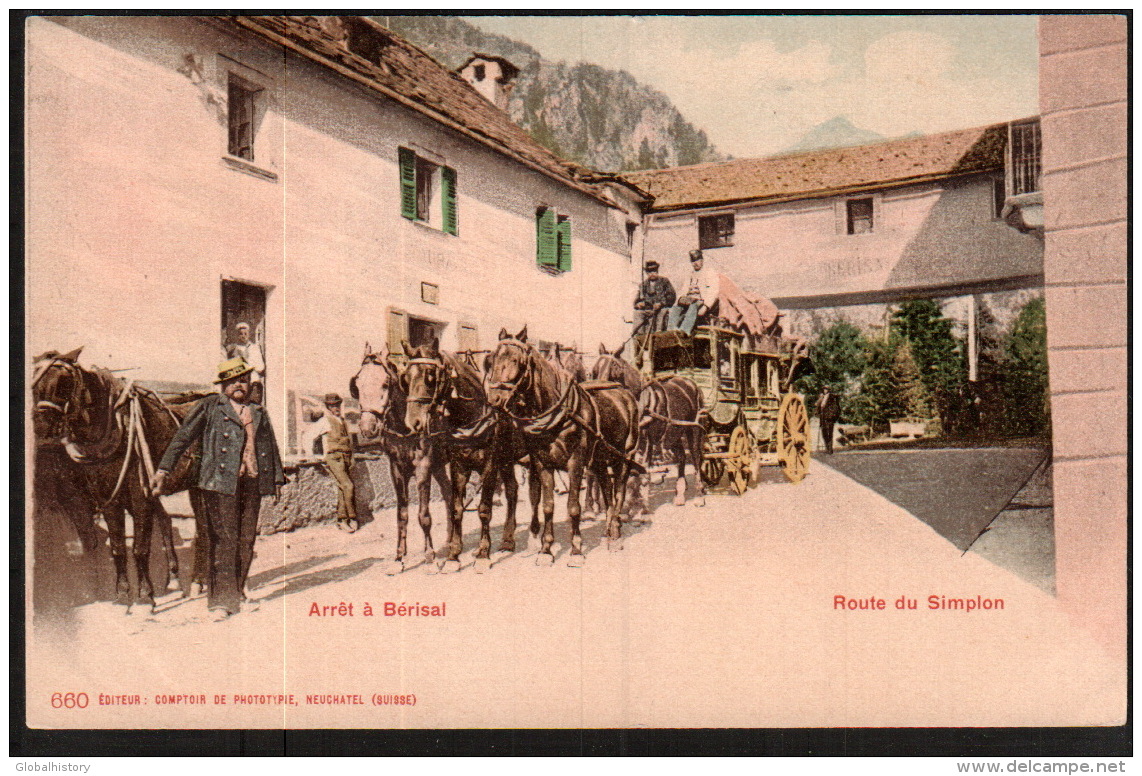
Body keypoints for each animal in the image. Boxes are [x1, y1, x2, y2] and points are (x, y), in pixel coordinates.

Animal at [31, 349, 199, 607]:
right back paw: (174, 580)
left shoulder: (140, 495)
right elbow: (118, 547)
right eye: (34, 381)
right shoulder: (109, 498)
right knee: (167, 521)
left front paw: (145, 596)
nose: (40, 425)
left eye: (64, 381)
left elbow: (140, 547)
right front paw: (122, 594)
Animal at [349, 342, 452, 572]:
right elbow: (402, 515)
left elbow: (424, 515)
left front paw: (430, 556)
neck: (405, 427)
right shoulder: (396, 469)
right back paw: (452, 540)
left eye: (385, 383)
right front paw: (399, 558)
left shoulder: (423, 467)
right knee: (451, 496)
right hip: (439, 466)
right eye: (357, 384)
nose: (367, 427)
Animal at [401, 333, 525, 570]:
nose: (413, 423)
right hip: (506, 460)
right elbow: (457, 508)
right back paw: (507, 539)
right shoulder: (459, 466)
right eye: (405, 378)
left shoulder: (489, 466)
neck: (472, 417)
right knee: (513, 489)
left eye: (430, 375)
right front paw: (453, 556)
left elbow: (484, 509)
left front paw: (483, 554)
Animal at [484, 326, 644, 563]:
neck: (556, 413)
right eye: (492, 359)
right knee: (607, 488)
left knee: (619, 492)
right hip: (599, 459)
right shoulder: (543, 464)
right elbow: (548, 506)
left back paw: (615, 535)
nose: (494, 399)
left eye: (516, 360)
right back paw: (607, 531)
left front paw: (576, 549)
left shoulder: (575, 463)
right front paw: (545, 549)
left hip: (623, 456)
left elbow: (573, 507)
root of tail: (624, 392)